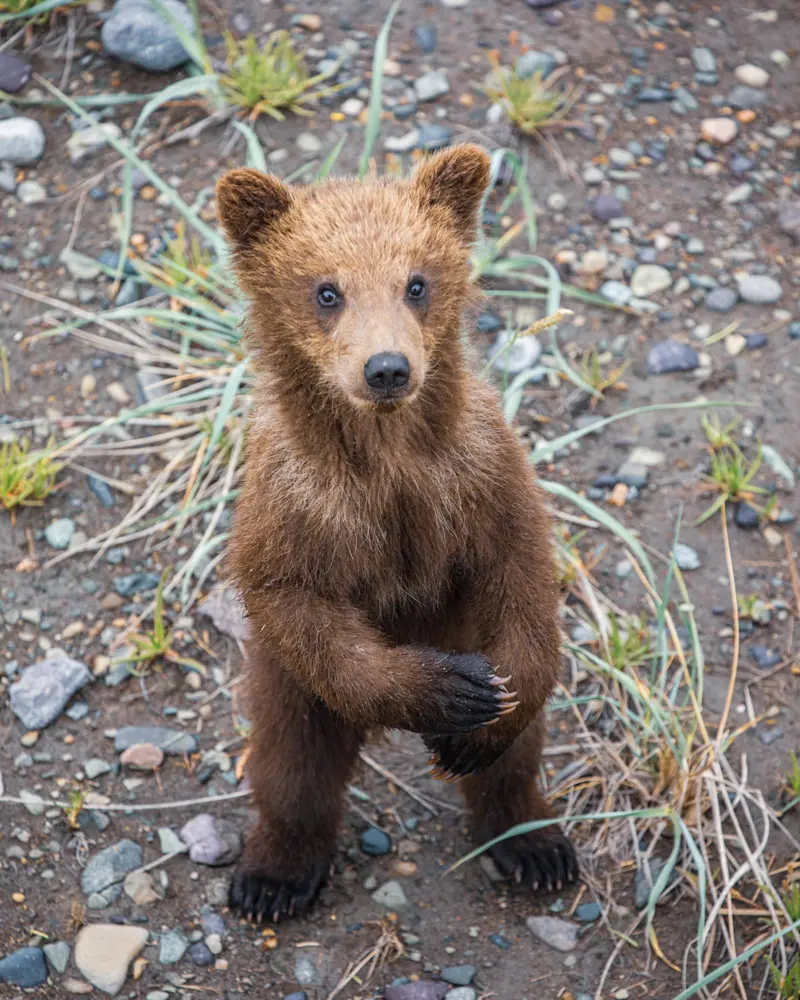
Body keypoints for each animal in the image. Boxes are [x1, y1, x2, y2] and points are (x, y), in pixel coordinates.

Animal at [215, 143, 578, 924]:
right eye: (327, 291)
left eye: (416, 282)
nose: (386, 368)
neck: (390, 463)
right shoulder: (292, 505)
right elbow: (295, 602)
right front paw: (450, 690)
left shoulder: (484, 474)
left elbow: (524, 579)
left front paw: (484, 720)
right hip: (293, 687)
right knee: (293, 767)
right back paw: (272, 878)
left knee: (517, 761)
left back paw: (534, 846)